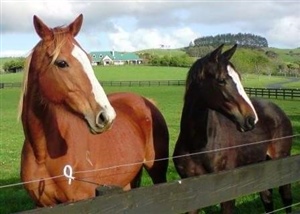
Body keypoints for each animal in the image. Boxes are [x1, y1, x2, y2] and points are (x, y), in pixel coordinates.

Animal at [18, 14, 169, 206]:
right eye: (62, 63)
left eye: (90, 60)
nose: (106, 116)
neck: (42, 153)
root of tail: (147, 101)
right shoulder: (42, 205)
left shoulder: (83, 199)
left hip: (157, 171)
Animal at [173, 44, 292, 213]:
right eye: (221, 80)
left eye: (240, 78)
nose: (251, 119)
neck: (197, 146)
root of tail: (280, 112)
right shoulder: (191, 194)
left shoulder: (226, 192)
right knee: (267, 198)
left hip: (282, 162)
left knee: (286, 198)